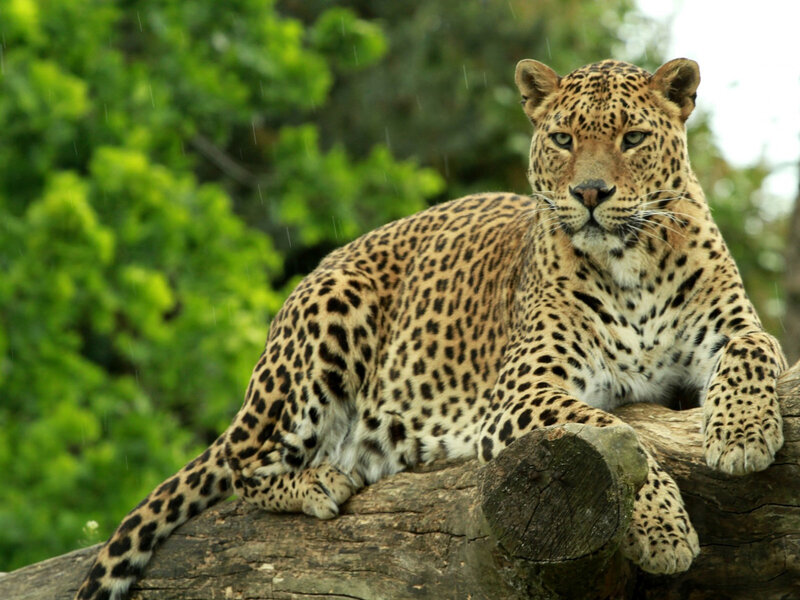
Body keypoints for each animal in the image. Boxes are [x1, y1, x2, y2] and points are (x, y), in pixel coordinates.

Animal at [75, 57, 787, 600]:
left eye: (633, 138)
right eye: (562, 140)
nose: (589, 193)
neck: (630, 260)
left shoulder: (733, 327)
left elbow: (755, 348)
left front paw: (740, 434)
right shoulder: (524, 390)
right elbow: (614, 434)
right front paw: (666, 531)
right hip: (327, 322)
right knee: (246, 472)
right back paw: (318, 482)